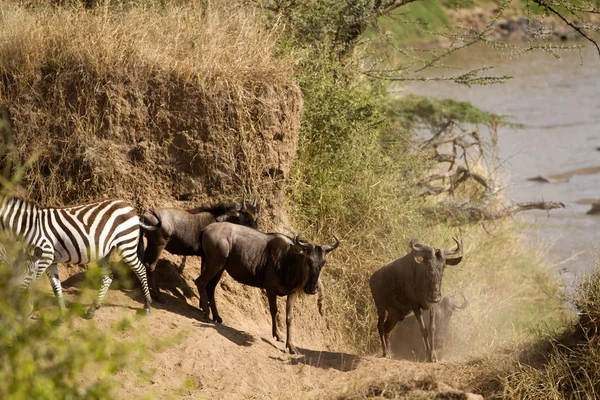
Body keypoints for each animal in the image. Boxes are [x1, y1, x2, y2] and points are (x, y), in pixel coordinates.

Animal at [0, 195, 159, 320]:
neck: (28, 227)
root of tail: (129, 205)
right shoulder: (48, 260)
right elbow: (56, 287)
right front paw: (62, 316)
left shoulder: (43, 256)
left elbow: (30, 285)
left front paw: (26, 312)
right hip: (105, 252)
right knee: (108, 277)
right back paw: (93, 309)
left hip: (126, 244)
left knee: (141, 269)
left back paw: (147, 305)